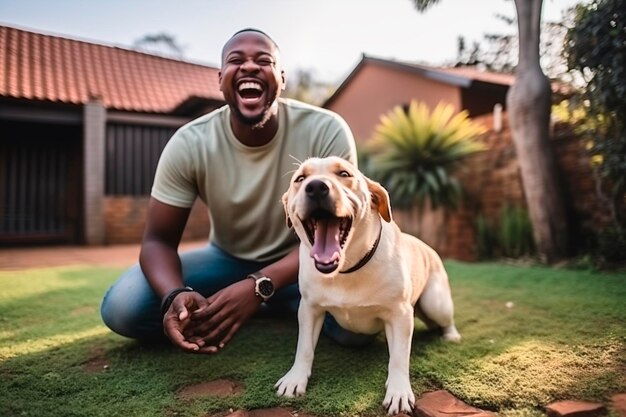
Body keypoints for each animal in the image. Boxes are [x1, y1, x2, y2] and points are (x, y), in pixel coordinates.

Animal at [276, 155, 460, 412]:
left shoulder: (400, 314)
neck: (346, 269)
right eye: (300, 179)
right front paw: (295, 378)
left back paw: (451, 335)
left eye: (344, 174)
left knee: (446, 319)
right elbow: (303, 348)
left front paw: (399, 390)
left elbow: (399, 359)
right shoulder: (310, 309)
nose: (316, 187)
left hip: (436, 303)